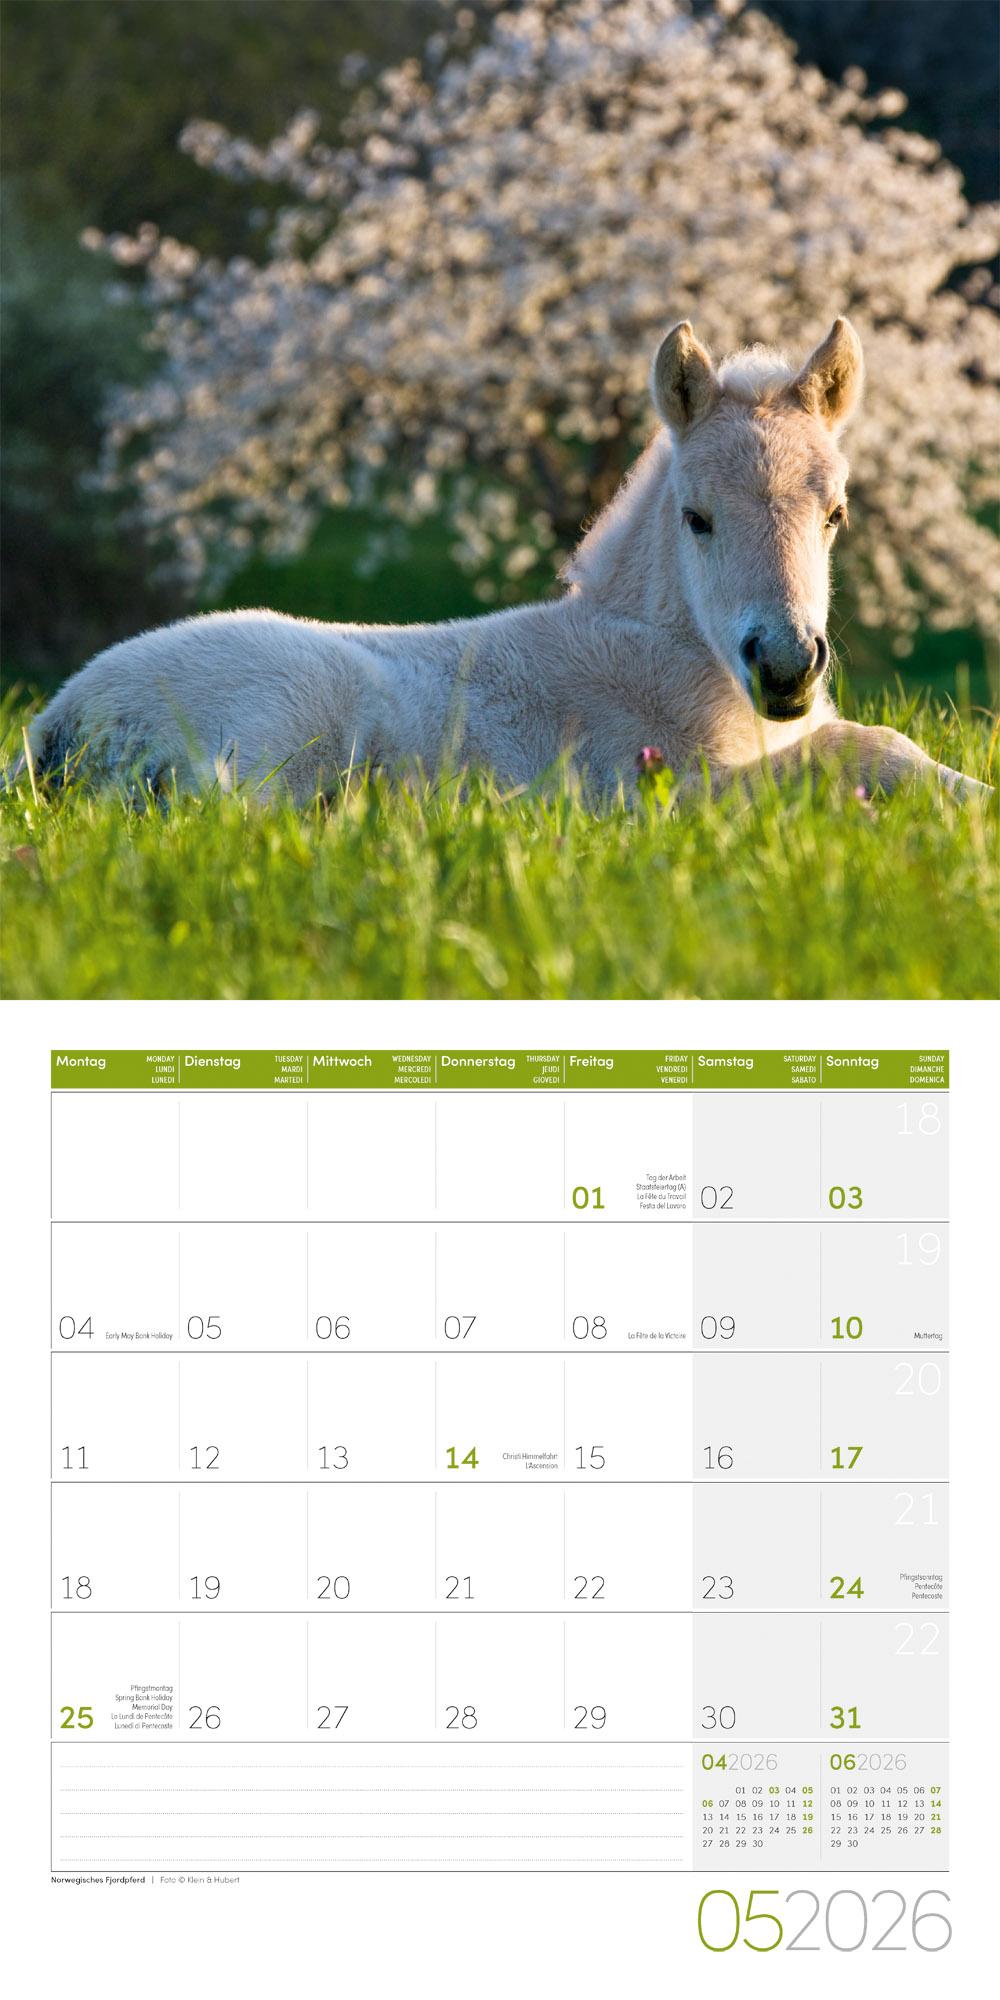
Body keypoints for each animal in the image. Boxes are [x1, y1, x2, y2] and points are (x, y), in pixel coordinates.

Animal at [23, 316, 989, 803]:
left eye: (836, 514)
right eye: (697, 518)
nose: (786, 666)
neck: (660, 658)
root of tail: (56, 724)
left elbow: (883, 742)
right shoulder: (660, 791)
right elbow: (855, 754)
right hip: (278, 726)